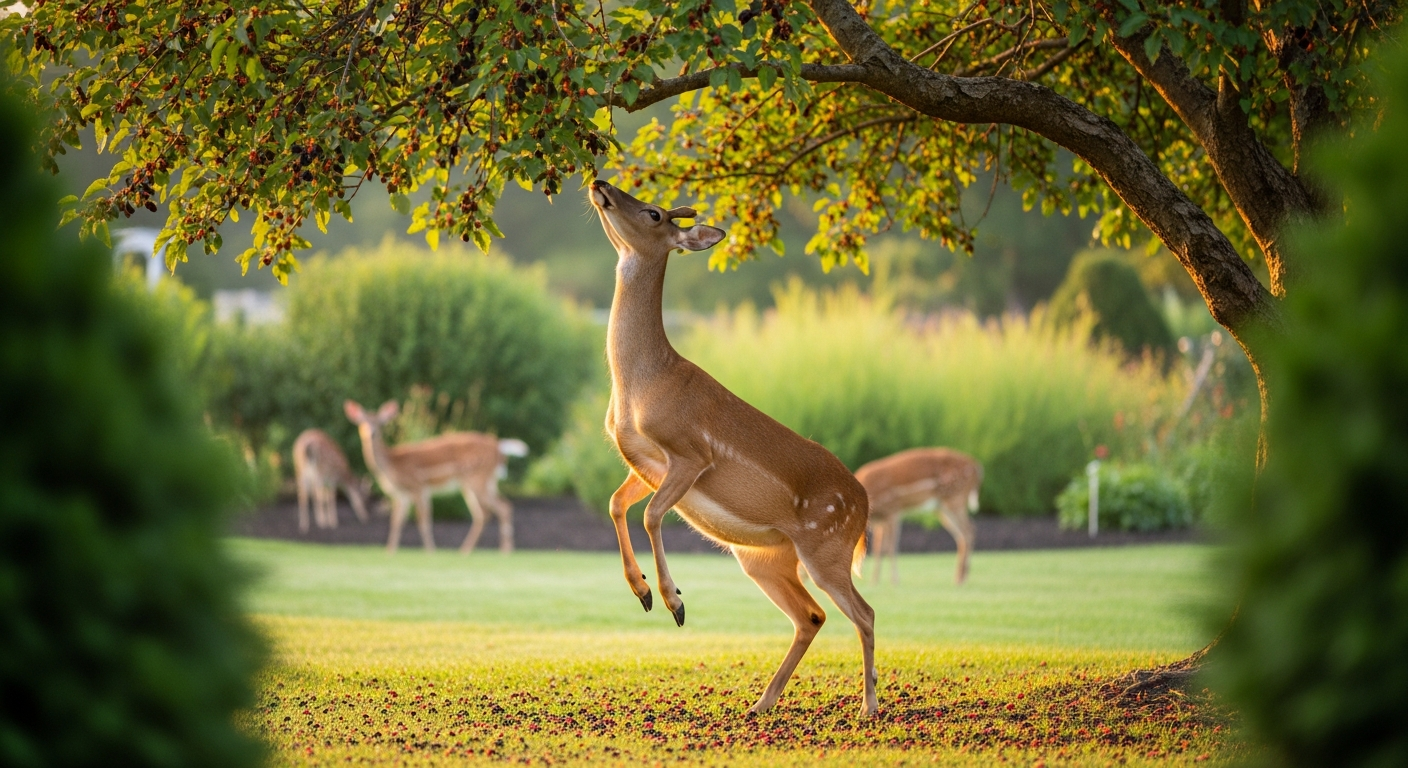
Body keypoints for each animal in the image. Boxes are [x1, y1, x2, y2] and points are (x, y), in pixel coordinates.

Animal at [343, 399, 528, 554]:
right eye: (362, 422)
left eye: (380, 423)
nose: (370, 433)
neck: (391, 464)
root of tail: (499, 446)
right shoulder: (401, 494)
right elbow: (396, 521)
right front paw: (390, 551)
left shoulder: (418, 487)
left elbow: (422, 519)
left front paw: (430, 551)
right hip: (480, 483)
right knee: (494, 509)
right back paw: (479, 550)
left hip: (477, 479)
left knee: (494, 509)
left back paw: (485, 550)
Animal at [588, 179, 878, 717]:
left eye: (654, 213)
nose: (599, 183)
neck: (642, 383)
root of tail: (865, 508)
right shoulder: (645, 462)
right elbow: (617, 504)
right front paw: (642, 593)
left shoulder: (690, 452)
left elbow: (651, 515)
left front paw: (674, 600)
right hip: (763, 558)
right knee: (812, 616)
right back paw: (762, 702)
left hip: (826, 545)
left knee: (863, 612)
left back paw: (868, 706)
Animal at [855, 448, 982, 586]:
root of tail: (977, 468)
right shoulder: (882, 519)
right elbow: (878, 547)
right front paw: (874, 581)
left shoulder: (893, 511)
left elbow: (890, 547)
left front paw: (895, 580)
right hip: (941, 507)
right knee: (962, 534)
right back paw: (961, 577)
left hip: (955, 498)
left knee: (969, 530)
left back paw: (959, 579)